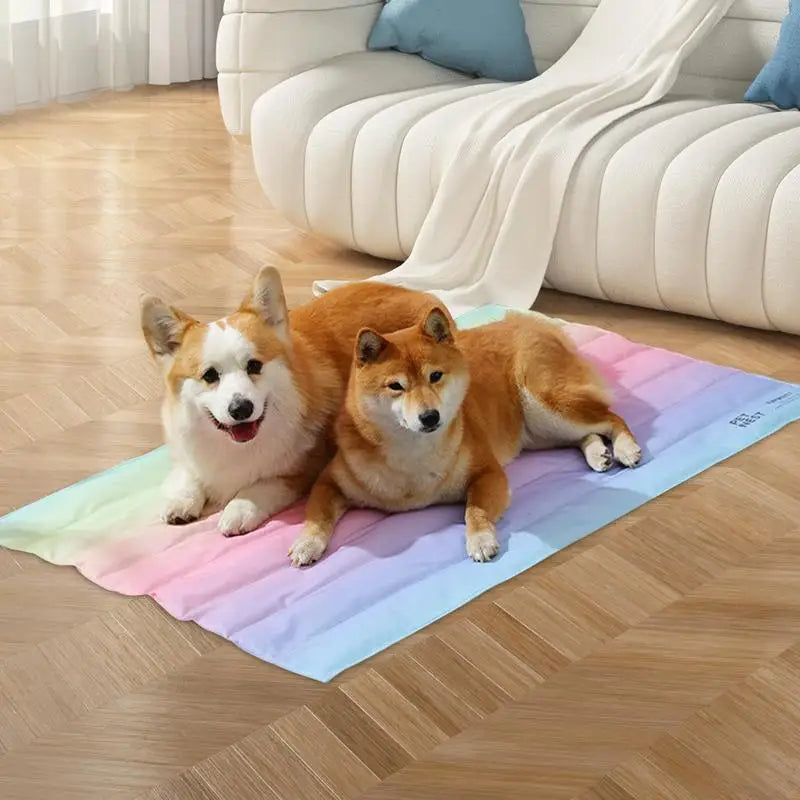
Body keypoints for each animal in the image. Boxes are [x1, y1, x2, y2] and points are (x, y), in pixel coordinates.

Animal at [138, 268, 438, 536]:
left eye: (254, 365)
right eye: (210, 375)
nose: (241, 409)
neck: (237, 445)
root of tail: (422, 294)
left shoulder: (303, 470)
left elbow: (263, 484)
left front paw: (239, 509)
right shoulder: (189, 452)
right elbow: (188, 474)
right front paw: (180, 501)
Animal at [290, 306, 640, 564]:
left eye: (435, 376)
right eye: (396, 386)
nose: (430, 416)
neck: (411, 454)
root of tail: (530, 322)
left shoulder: (488, 473)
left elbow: (475, 509)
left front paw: (481, 539)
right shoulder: (329, 481)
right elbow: (316, 516)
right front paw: (307, 544)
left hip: (547, 405)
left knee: (611, 418)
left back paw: (625, 448)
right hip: (541, 430)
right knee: (587, 433)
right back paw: (598, 453)